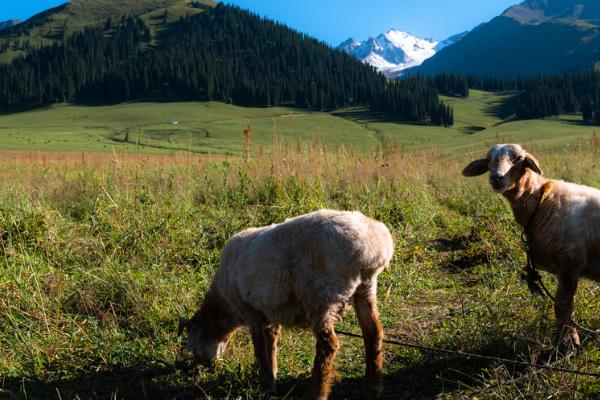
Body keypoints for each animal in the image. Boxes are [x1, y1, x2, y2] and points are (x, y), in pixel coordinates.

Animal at [178, 211, 394, 398]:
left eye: (193, 345)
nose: (207, 366)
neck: (225, 306)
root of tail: (373, 247)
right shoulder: (270, 312)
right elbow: (271, 344)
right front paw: (273, 375)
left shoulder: (251, 314)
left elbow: (259, 350)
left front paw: (267, 383)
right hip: (365, 288)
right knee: (373, 332)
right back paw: (372, 388)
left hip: (320, 295)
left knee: (328, 345)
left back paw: (316, 393)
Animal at [466, 144, 600, 350]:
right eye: (488, 160)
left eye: (519, 159)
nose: (496, 178)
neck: (541, 201)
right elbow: (565, 308)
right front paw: (568, 339)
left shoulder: (570, 263)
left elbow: (562, 306)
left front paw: (567, 343)